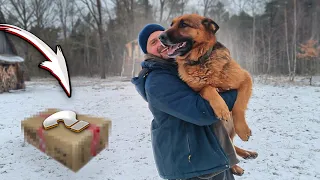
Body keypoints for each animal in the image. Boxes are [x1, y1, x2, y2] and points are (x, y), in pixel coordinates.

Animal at [159, 14, 258, 176]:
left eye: (184, 24)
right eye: (171, 24)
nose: (160, 37)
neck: (201, 60)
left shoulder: (245, 78)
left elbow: (239, 107)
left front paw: (243, 130)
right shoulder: (198, 91)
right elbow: (208, 88)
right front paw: (222, 108)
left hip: (229, 126)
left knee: (232, 143)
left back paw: (245, 154)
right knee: (230, 146)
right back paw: (236, 165)